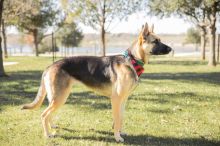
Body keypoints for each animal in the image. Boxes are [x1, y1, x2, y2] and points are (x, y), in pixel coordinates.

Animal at [21, 22, 172, 142]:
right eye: (155, 41)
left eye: (160, 40)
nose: (171, 49)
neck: (132, 60)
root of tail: (49, 66)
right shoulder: (116, 99)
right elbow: (117, 119)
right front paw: (117, 137)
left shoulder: (123, 100)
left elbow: (121, 118)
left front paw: (121, 132)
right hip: (60, 98)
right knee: (43, 115)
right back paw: (48, 135)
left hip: (58, 97)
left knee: (48, 113)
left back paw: (52, 126)